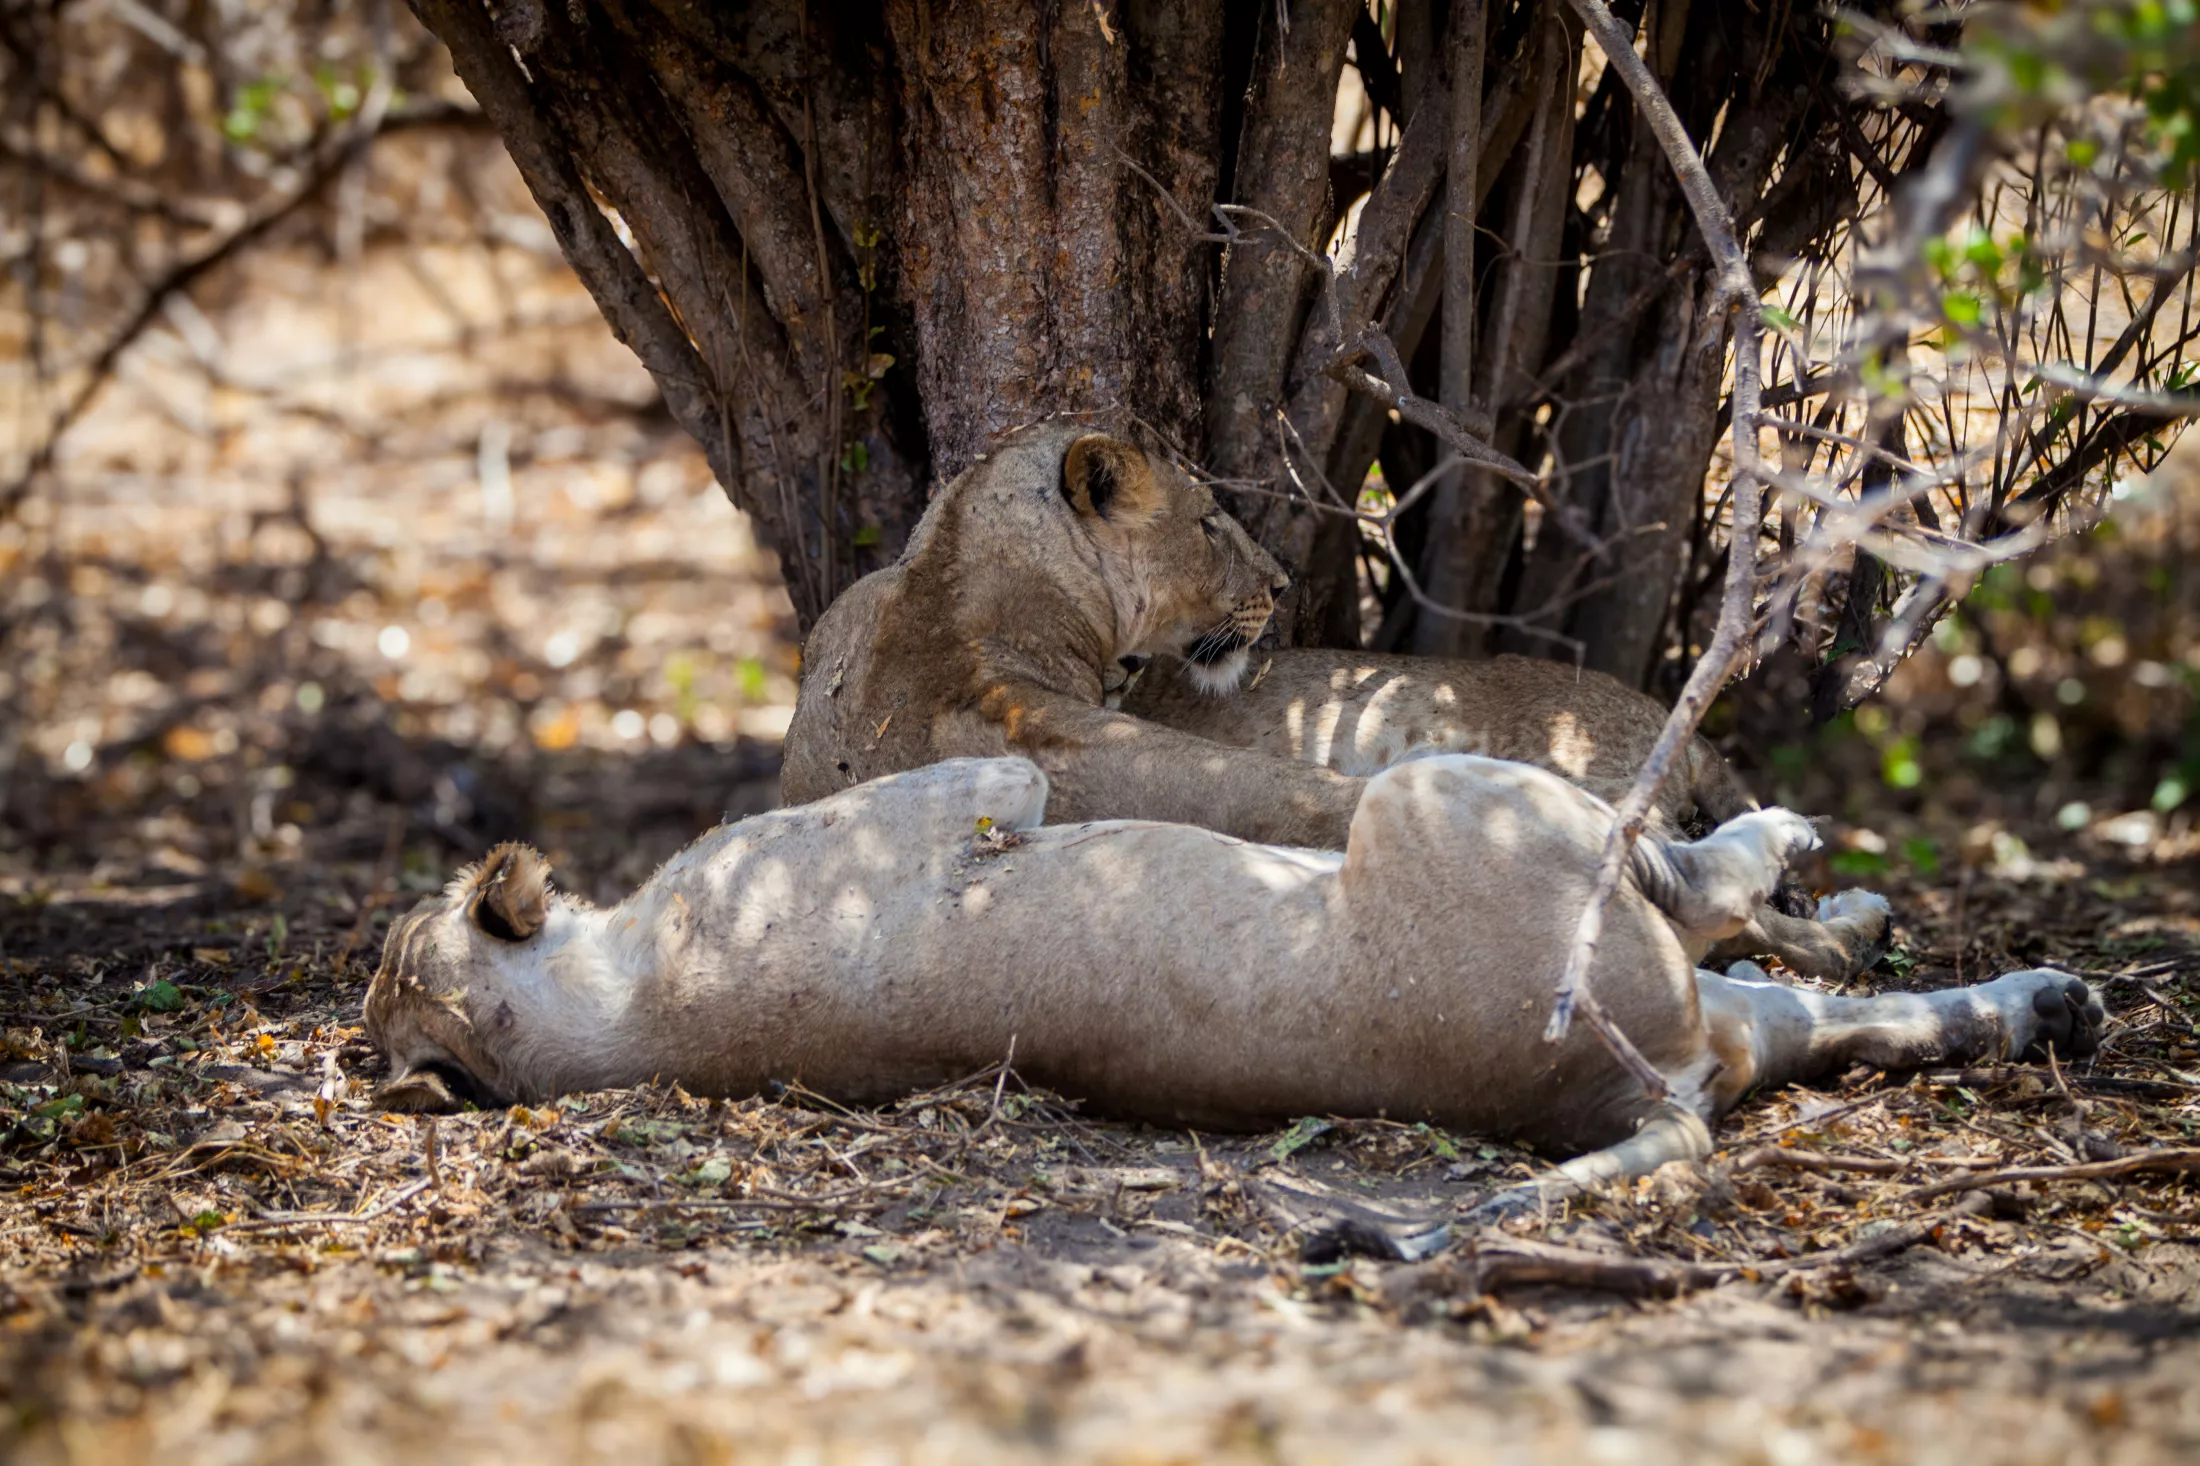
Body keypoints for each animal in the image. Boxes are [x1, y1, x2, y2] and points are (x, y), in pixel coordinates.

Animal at [364, 756, 2100, 1214]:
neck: (610, 1014)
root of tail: (1628, 1092)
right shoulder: (964, 787)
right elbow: (1011, 776)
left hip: (1705, 1024)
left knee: (1845, 1010)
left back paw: (2035, 997)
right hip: (1441, 790)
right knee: (1700, 881)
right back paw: (1797, 852)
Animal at [782, 421, 1887, 979]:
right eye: (1212, 522)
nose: (1280, 583)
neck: (949, 587)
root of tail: (1668, 726)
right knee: (1711, 899)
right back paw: (1845, 919)